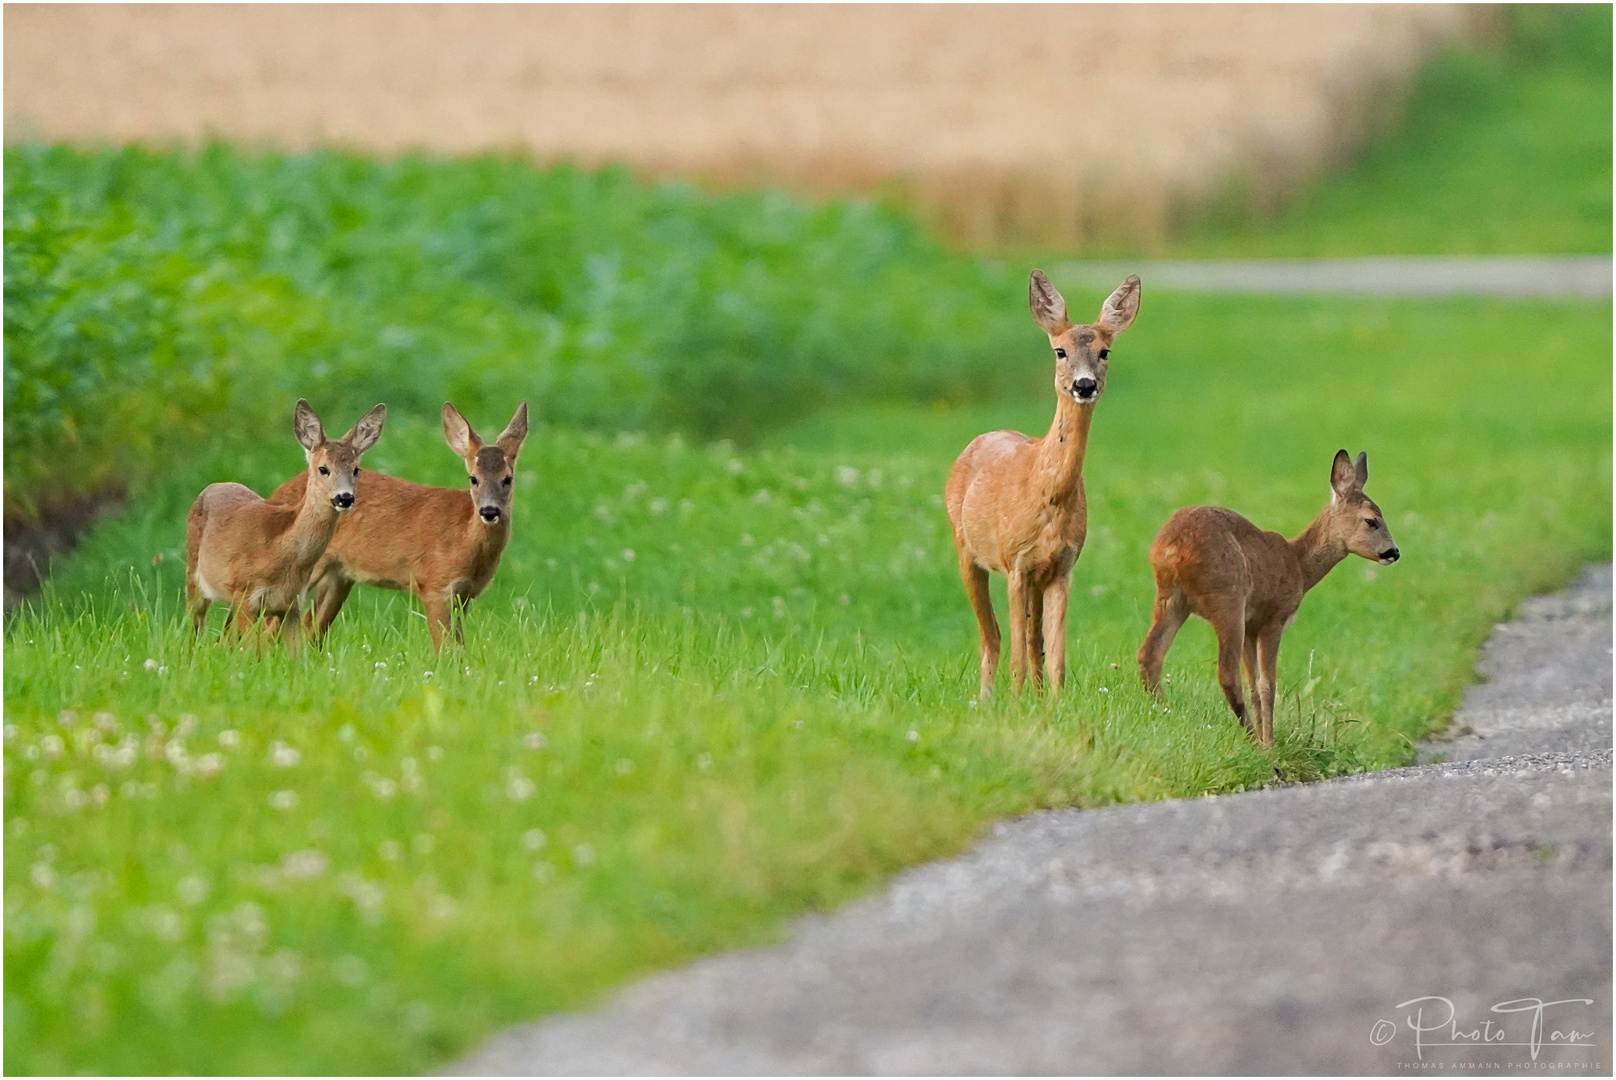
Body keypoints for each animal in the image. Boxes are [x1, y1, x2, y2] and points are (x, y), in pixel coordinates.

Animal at [185, 396, 387, 649]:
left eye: (356, 469)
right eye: (323, 468)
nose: (345, 497)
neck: (278, 550)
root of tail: (212, 487)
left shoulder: (291, 604)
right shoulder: (243, 593)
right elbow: (254, 650)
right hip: (194, 577)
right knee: (194, 628)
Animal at [271, 399, 530, 646]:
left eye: (508, 479)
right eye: (473, 478)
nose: (489, 511)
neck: (464, 538)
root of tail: (279, 491)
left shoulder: (463, 595)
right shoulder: (434, 584)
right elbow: (445, 648)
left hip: (338, 576)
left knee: (310, 626)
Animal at [943, 265, 1144, 695]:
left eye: (1105, 352)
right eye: (1060, 351)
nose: (1084, 385)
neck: (1046, 493)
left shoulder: (1062, 567)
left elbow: (1056, 659)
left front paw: (1053, 704)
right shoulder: (1015, 562)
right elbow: (1018, 656)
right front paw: (1017, 705)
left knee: (1032, 641)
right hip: (966, 549)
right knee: (992, 638)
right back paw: (986, 700)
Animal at [1137, 452, 1402, 746]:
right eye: (1371, 520)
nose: (1393, 552)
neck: (1298, 565)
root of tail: (1171, 548)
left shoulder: (1251, 627)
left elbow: (1254, 685)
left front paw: (1267, 738)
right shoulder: (1274, 618)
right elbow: (1268, 685)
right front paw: (1270, 744)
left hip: (1172, 599)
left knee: (1150, 655)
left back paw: (1165, 710)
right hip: (1227, 597)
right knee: (1227, 675)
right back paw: (1253, 741)